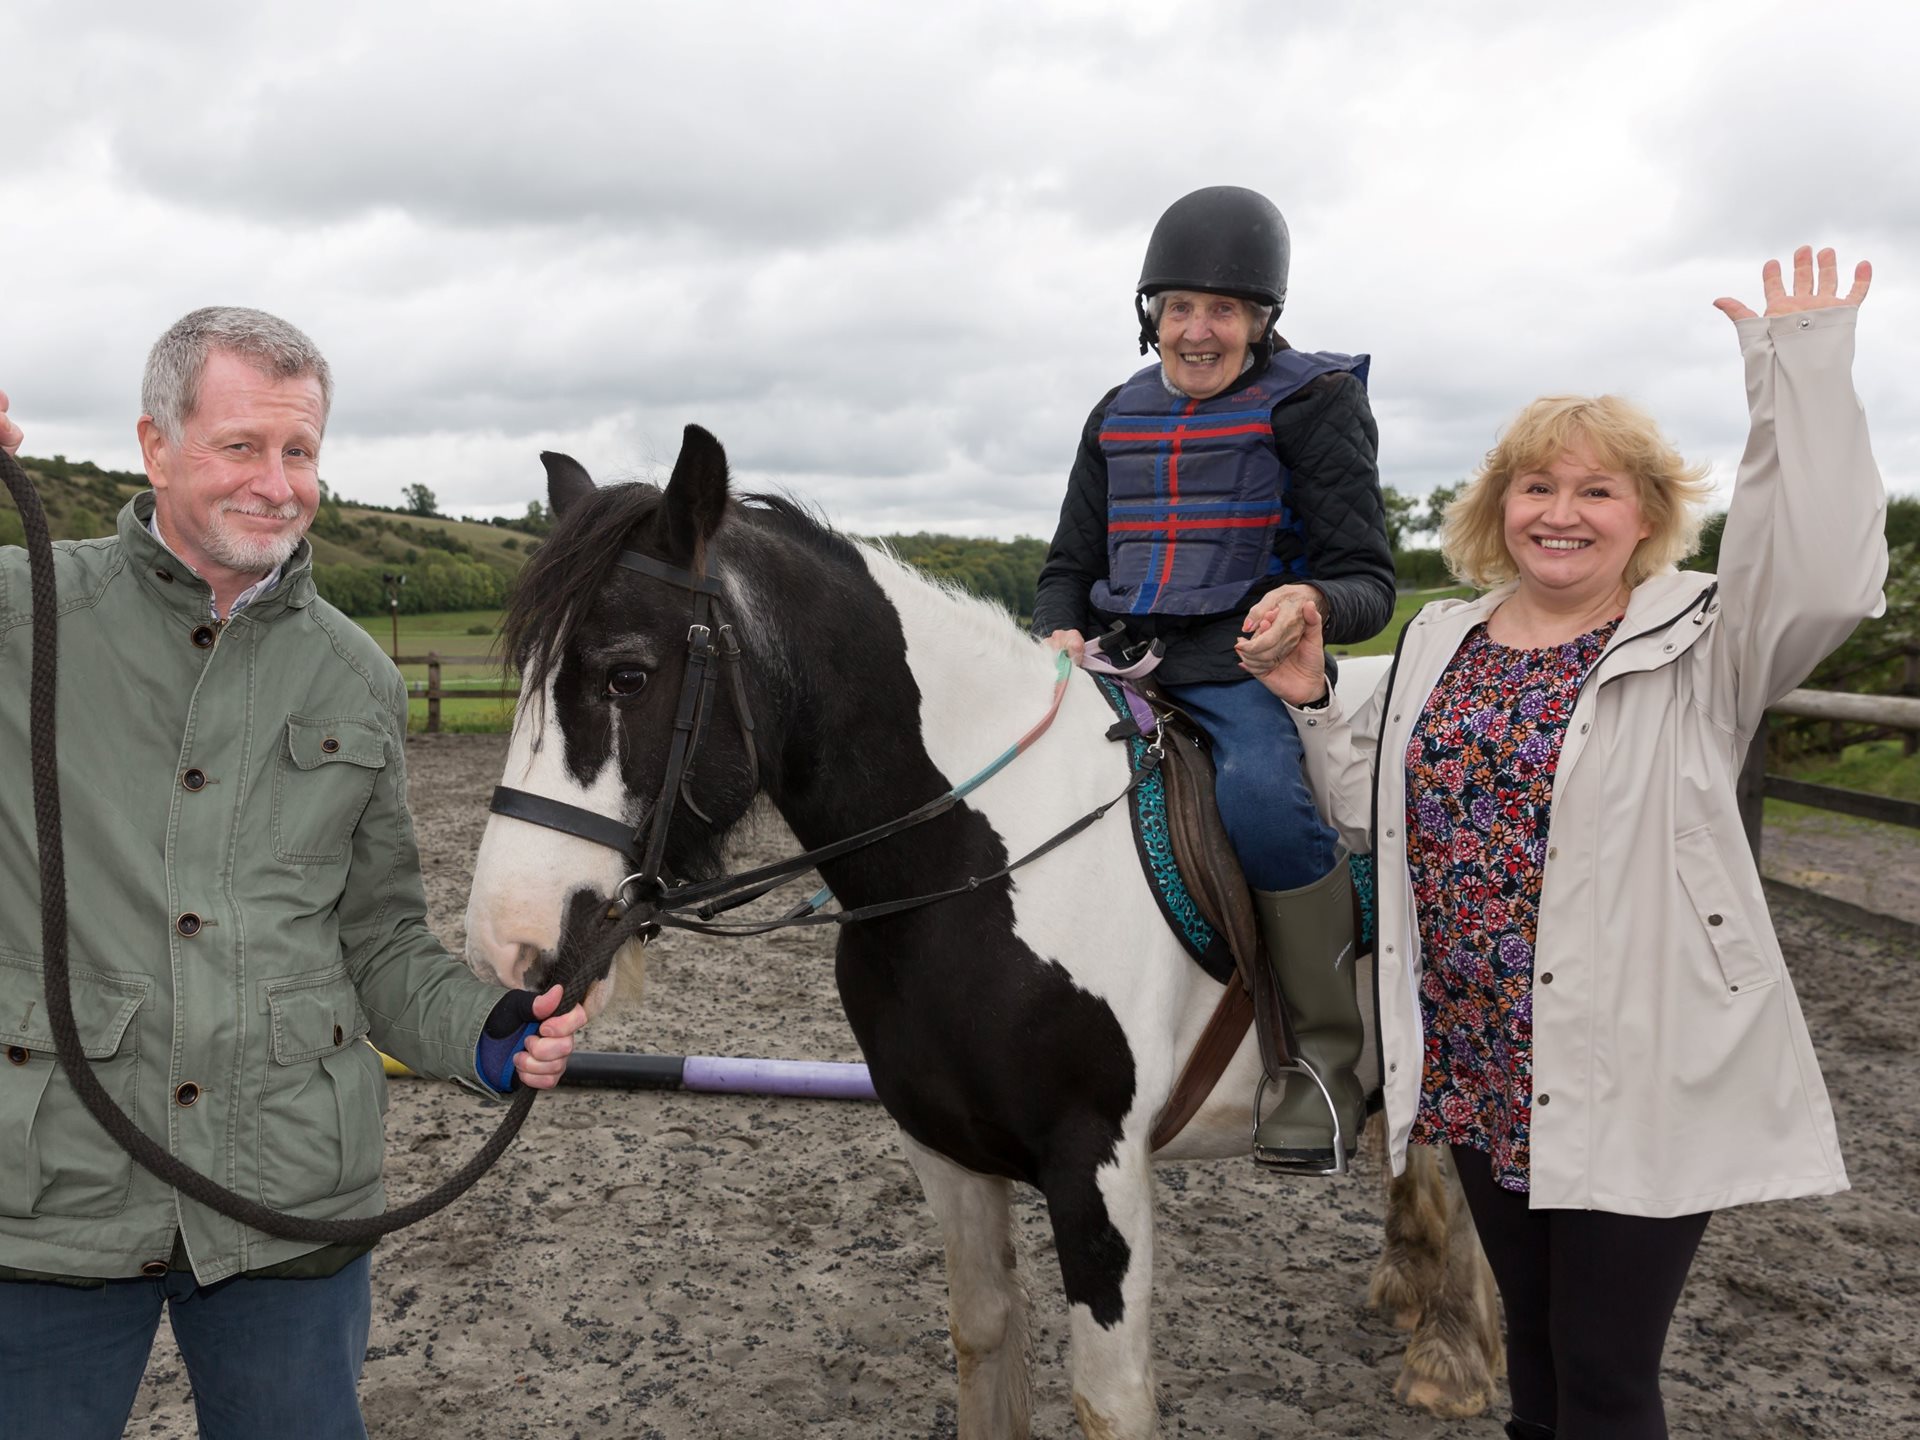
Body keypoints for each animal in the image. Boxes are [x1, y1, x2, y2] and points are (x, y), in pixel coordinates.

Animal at [464, 428, 1497, 1440]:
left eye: (626, 675)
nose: (506, 940)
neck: (971, 868)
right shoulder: (944, 1148)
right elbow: (984, 1337)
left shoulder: (1098, 1171)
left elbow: (1109, 1399)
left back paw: (1450, 1354)